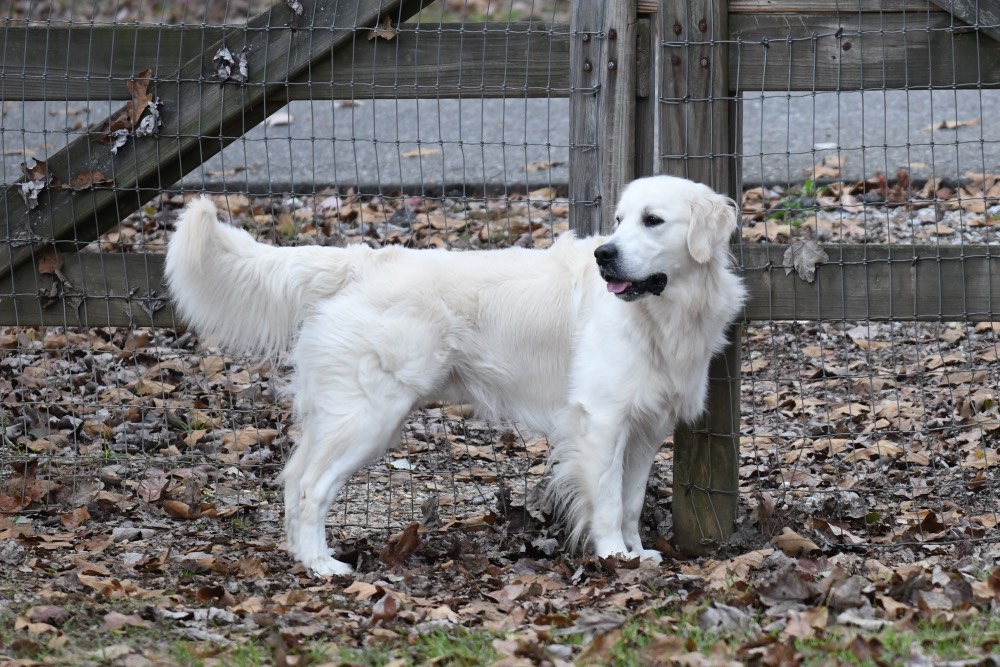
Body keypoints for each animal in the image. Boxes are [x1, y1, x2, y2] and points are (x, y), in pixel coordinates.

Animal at [166, 175, 744, 576]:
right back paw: (323, 566)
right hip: (370, 416)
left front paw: (636, 553)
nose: (606, 255)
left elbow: (629, 502)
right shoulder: (600, 420)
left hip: (338, 412)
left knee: (293, 480)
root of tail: (361, 262)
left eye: (652, 220)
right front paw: (612, 558)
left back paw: (301, 557)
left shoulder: (645, 429)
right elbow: (605, 503)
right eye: (620, 221)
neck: (665, 314)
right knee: (311, 486)